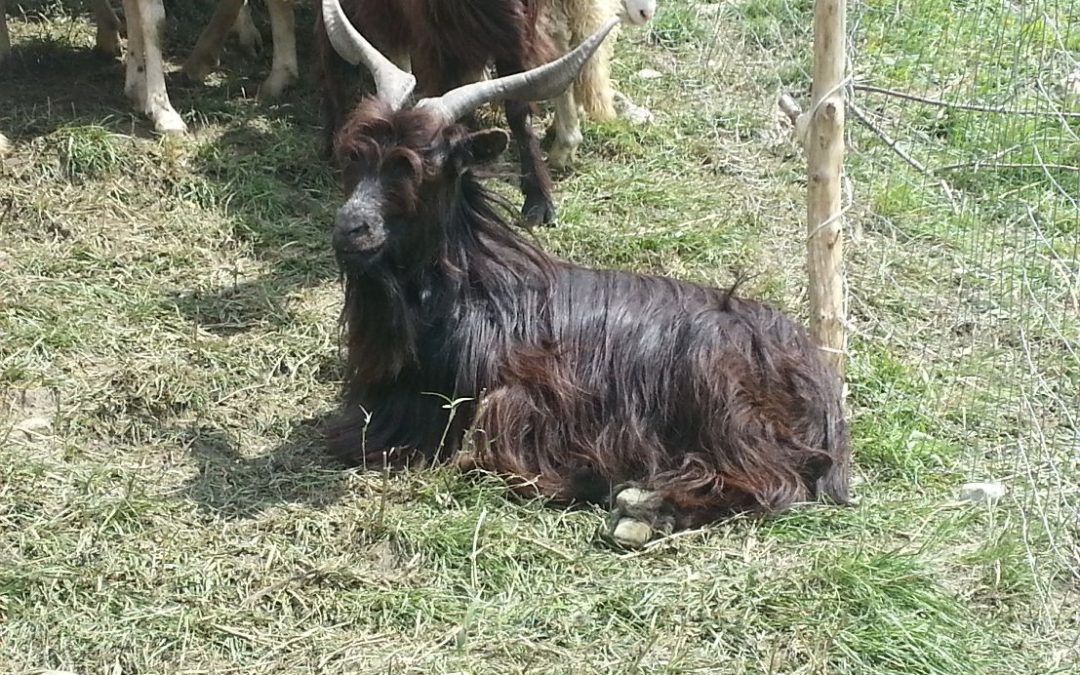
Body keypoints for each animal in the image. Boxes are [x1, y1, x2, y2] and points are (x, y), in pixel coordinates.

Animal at [319, 0, 852, 548]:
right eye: (355, 154)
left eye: (422, 167)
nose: (351, 228)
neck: (476, 295)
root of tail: (822, 389)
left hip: (719, 389)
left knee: (774, 480)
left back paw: (641, 511)